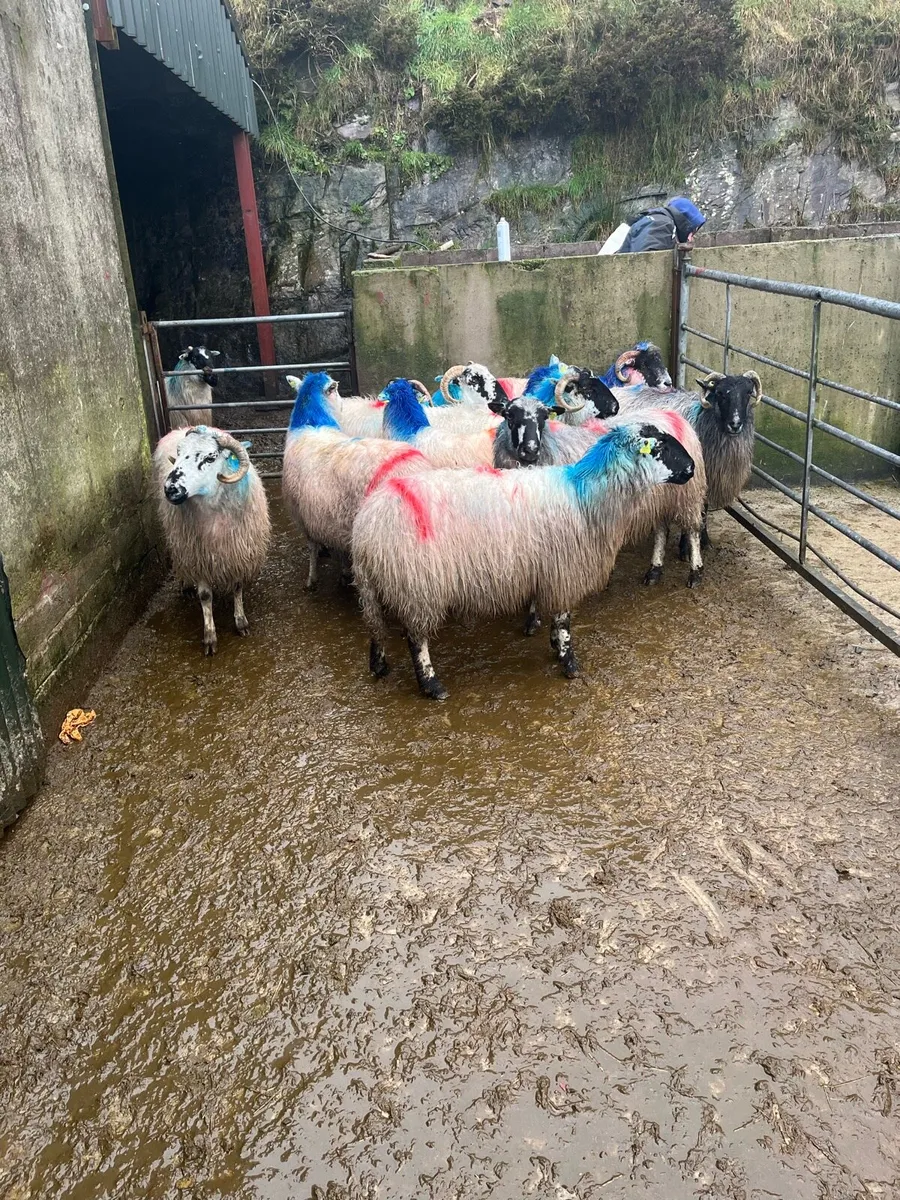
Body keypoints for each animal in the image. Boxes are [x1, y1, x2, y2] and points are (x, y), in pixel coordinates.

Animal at [154, 425, 271, 654]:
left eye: (210, 457)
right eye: (179, 453)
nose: (171, 489)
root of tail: (178, 428)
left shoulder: (237, 553)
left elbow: (237, 587)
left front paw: (240, 622)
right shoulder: (198, 555)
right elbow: (205, 596)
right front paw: (209, 636)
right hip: (180, 541)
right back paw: (186, 586)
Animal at [282, 372, 434, 590]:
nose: (343, 405)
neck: (311, 423)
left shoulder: (303, 515)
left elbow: (313, 548)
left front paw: (314, 578)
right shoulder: (323, 517)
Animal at [352, 418, 696, 700]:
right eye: (660, 447)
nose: (692, 467)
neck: (586, 496)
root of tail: (368, 524)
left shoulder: (548, 571)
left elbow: (553, 615)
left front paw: (554, 645)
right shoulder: (565, 569)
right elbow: (564, 618)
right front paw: (568, 662)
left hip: (379, 585)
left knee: (374, 625)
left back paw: (379, 665)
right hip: (417, 585)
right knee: (416, 638)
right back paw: (431, 685)